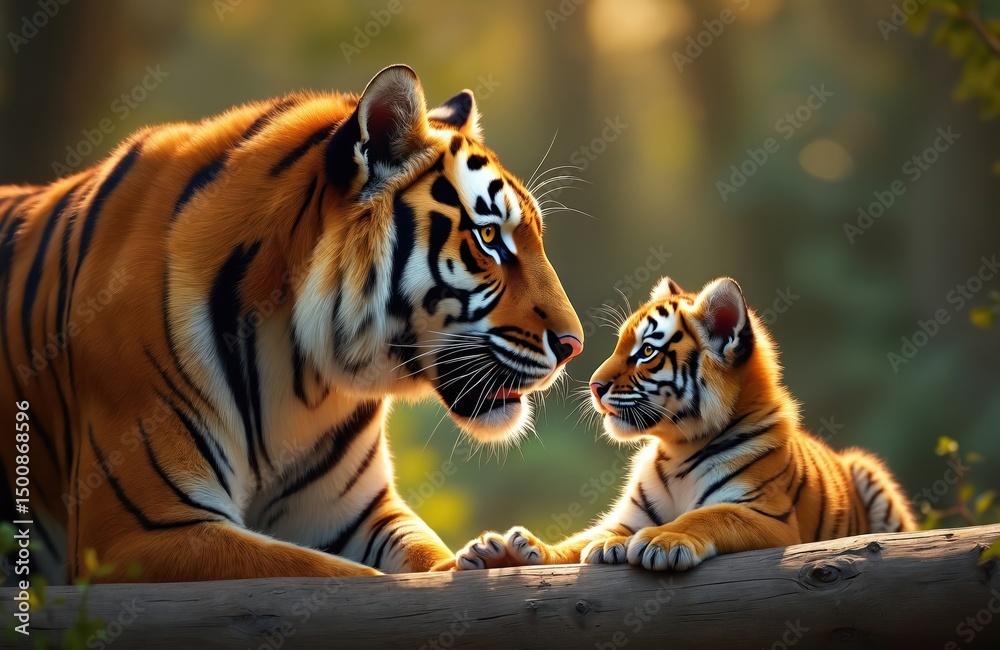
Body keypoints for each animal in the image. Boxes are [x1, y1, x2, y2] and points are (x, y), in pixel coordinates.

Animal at [0, 64, 584, 583]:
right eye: (488, 238)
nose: (573, 346)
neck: (298, 369)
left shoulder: (359, 514)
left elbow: (424, 558)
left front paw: (496, 555)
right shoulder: (137, 532)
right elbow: (335, 578)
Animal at [452, 275, 916, 572]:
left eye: (645, 352)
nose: (595, 386)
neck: (678, 448)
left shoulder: (767, 515)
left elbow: (706, 517)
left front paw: (662, 541)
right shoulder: (626, 517)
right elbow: (577, 541)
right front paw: (510, 551)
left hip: (870, 475)